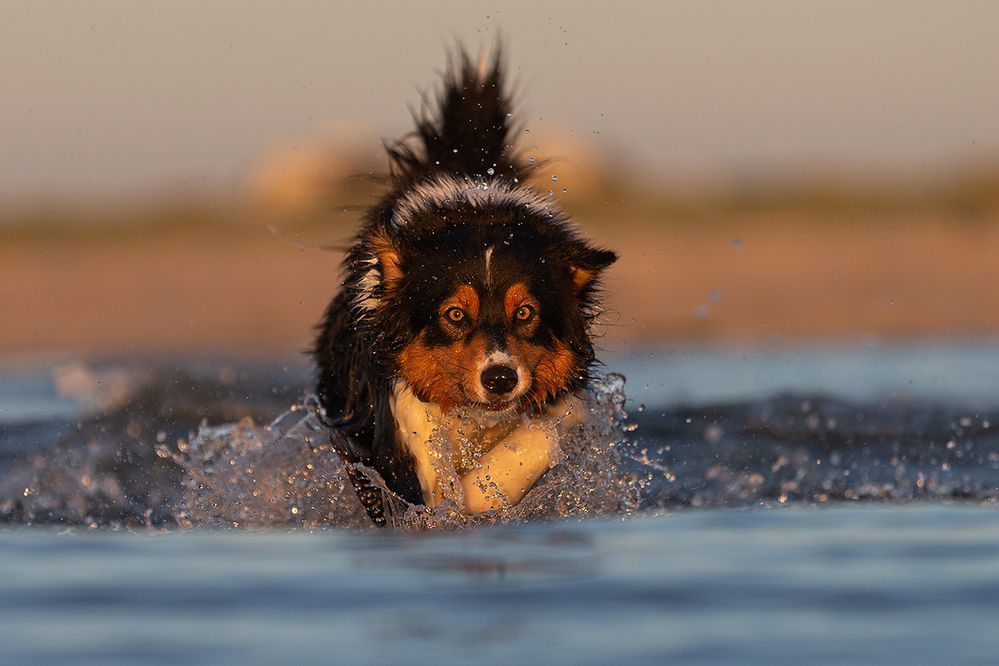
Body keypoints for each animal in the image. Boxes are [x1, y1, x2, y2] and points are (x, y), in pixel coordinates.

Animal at [316, 49, 616, 520]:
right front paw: (449, 504)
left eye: (525, 313)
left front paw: (478, 494)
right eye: (455, 315)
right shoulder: (391, 416)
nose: (500, 379)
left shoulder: (564, 405)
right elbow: (422, 464)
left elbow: (540, 437)